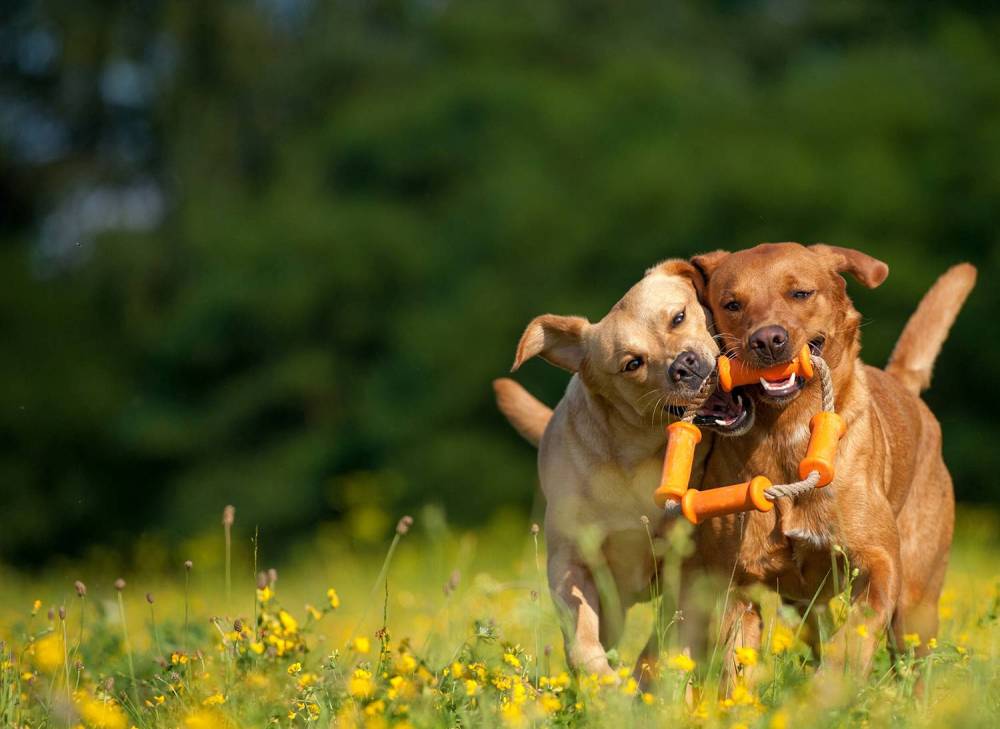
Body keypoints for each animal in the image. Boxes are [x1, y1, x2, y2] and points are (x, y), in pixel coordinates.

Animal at [494, 258, 752, 680]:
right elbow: (583, 642)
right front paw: (605, 685)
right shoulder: (571, 565)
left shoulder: (689, 572)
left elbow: (663, 646)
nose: (684, 365)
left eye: (678, 317)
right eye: (632, 363)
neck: (642, 454)